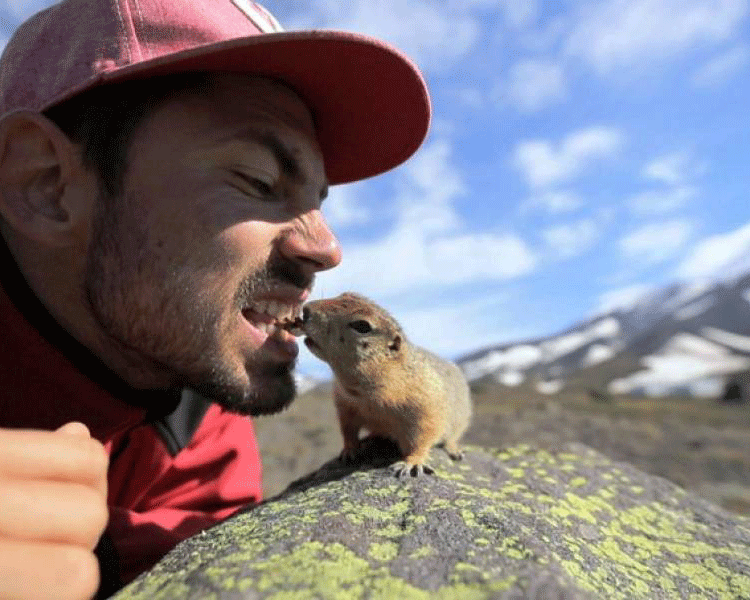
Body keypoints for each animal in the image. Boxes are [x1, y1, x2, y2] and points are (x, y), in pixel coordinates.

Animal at [302, 292, 472, 478]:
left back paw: (454, 450)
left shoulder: (426, 407)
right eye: (346, 293)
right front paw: (349, 451)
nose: (305, 310)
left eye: (362, 326)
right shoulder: (345, 403)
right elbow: (348, 429)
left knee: (451, 437)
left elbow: (422, 437)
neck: (363, 394)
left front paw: (411, 463)